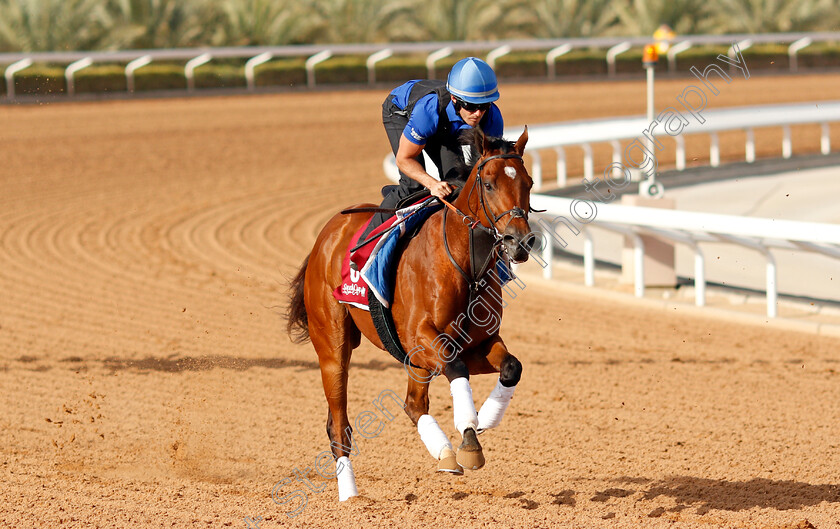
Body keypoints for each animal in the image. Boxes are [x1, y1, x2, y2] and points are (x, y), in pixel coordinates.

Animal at [286, 127, 536, 500]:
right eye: (490, 184)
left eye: (529, 182)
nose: (520, 242)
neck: (465, 265)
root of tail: (324, 237)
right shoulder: (424, 338)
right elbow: (456, 368)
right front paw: (470, 438)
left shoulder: (474, 343)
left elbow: (511, 366)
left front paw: (486, 419)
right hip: (332, 345)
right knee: (338, 425)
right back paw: (350, 496)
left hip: (413, 361)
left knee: (413, 404)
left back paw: (444, 452)